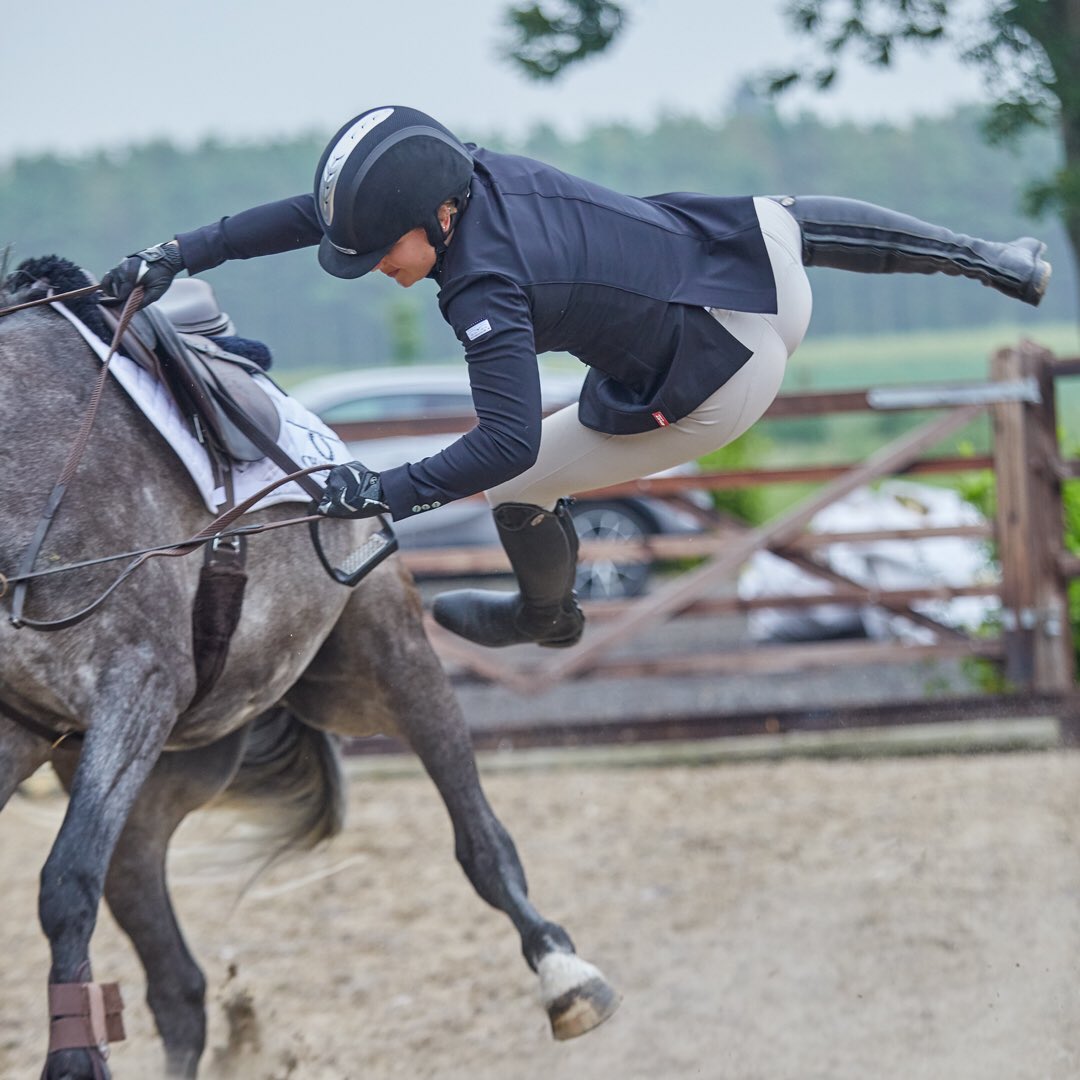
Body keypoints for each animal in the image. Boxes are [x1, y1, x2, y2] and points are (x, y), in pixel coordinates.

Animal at [0, 259, 618, 1079]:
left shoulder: (137, 688)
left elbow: (65, 886)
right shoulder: (21, 731)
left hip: (383, 669)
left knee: (482, 840)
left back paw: (563, 973)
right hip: (151, 782)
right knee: (177, 984)